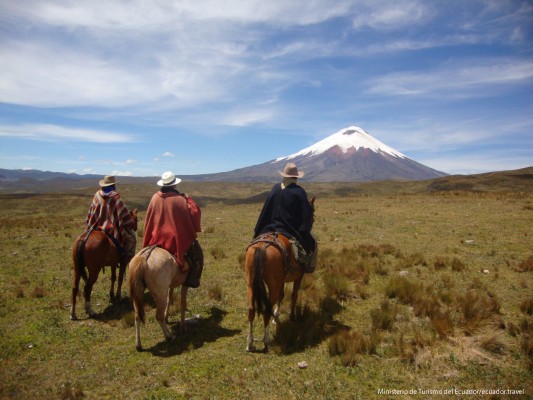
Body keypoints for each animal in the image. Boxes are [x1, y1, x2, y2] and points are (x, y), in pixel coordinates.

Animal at [244, 198, 314, 352]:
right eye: (312, 213)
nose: (312, 221)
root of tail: (262, 247)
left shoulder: (281, 280)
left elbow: (281, 296)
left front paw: (276, 316)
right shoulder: (298, 277)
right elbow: (294, 295)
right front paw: (292, 317)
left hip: (251, 284)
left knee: (251, 310)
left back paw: (250, 343)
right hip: (272, 286)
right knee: (266, 311)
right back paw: (266, 341)